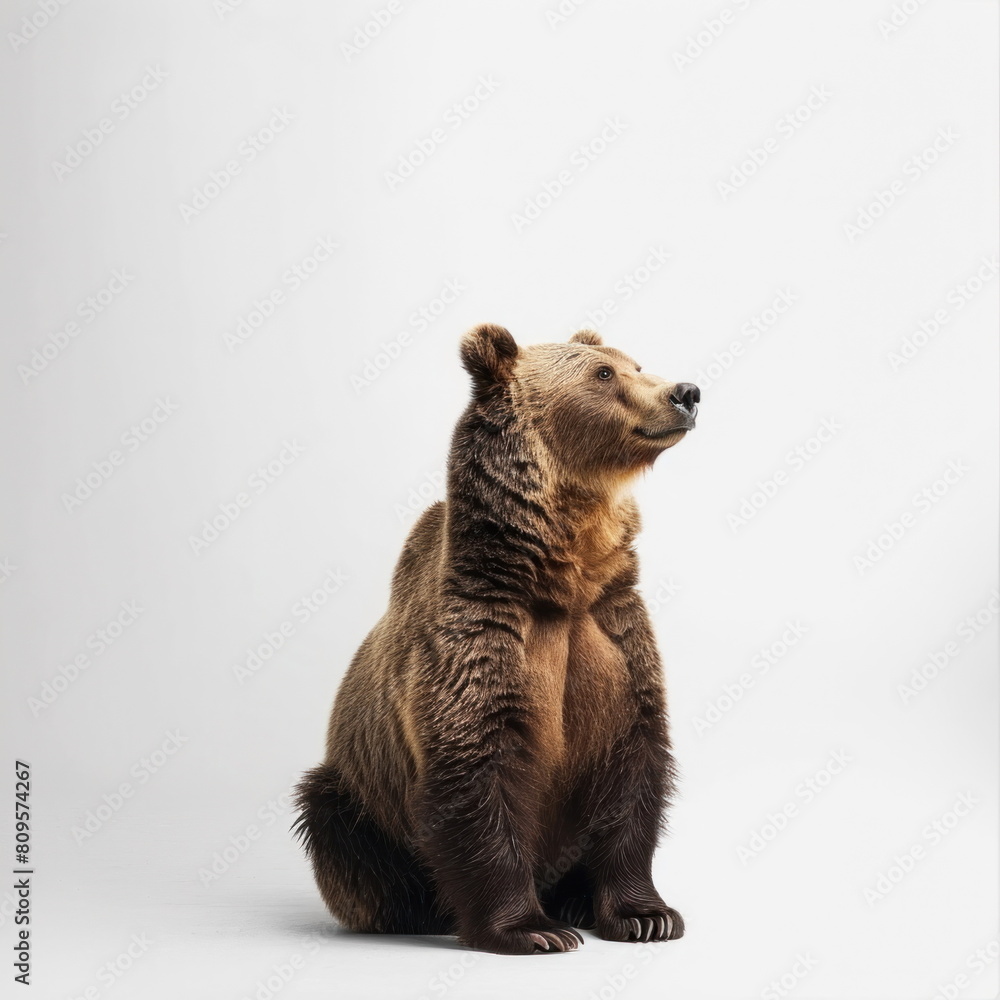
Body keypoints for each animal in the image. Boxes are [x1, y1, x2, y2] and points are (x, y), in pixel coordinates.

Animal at [294, 324, 700, 955]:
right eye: (603, 373)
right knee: (336, 822)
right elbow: (478, 768)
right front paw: (533, 929)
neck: (559, 576)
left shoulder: (615, 631)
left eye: (636, 362)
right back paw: (420, 912)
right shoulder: (479, 635)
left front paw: (646, 916)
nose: (686, 392)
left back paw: (572, 899)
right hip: (357, 797)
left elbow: (633, 763)